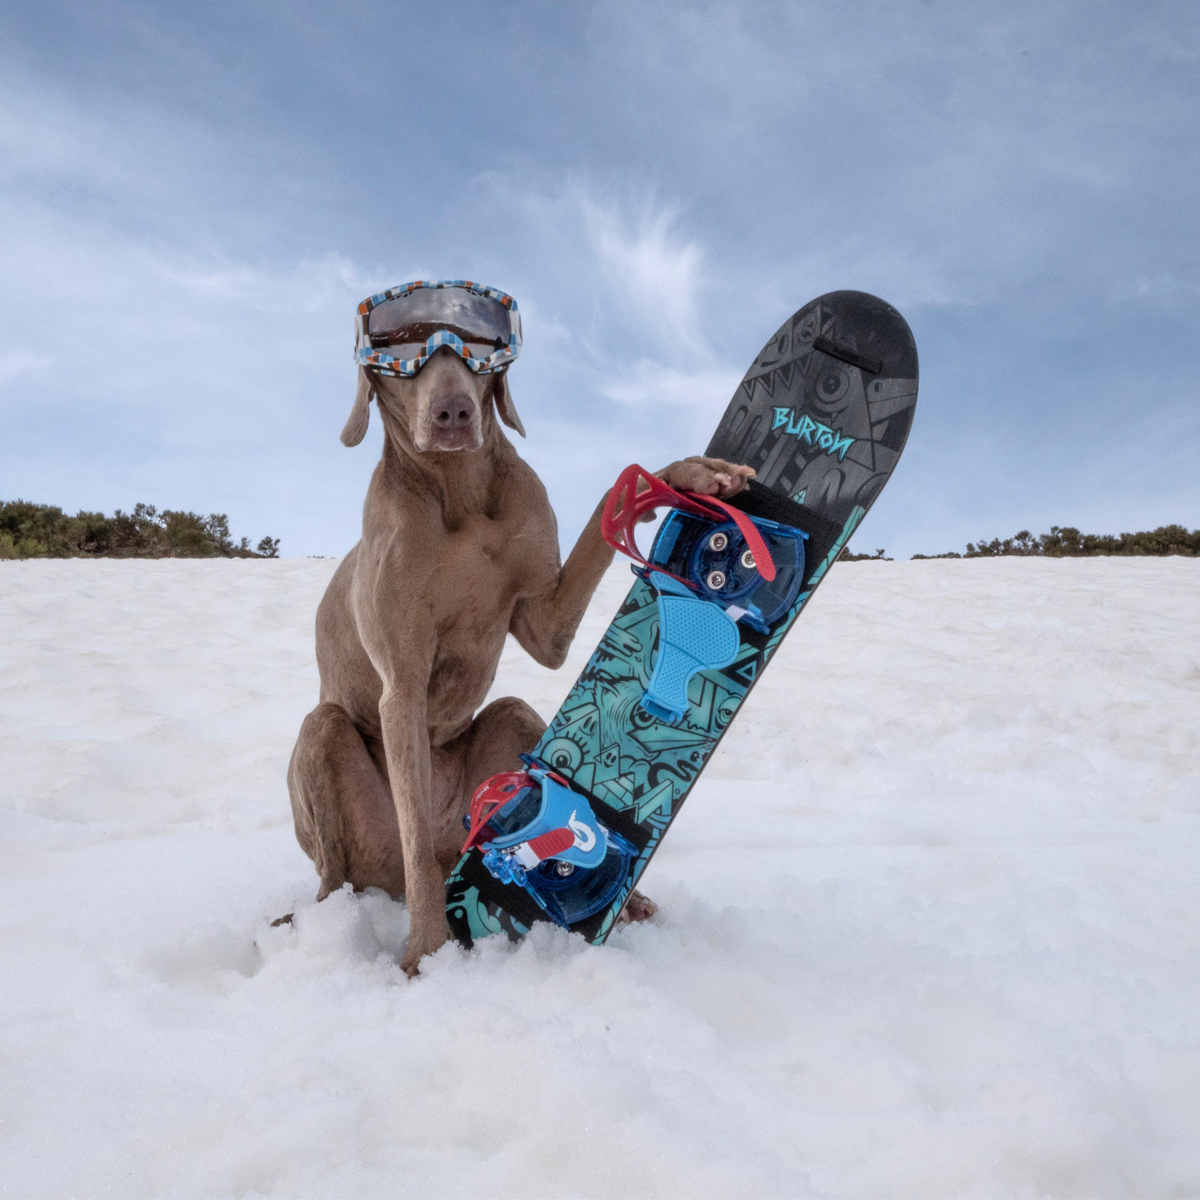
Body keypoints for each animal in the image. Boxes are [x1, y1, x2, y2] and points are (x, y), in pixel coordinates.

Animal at [288, 340, 748, 974]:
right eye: (401, 349)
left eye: (479, 348)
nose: (453, 412)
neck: (457, 489)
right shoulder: (401, 686)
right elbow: (408, 788)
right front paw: (425, 954)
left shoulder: (546, 626)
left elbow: (604, 511)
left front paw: (683, 476)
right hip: (329, 748)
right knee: (350, 870)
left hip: (506, 732)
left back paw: (617, 898)